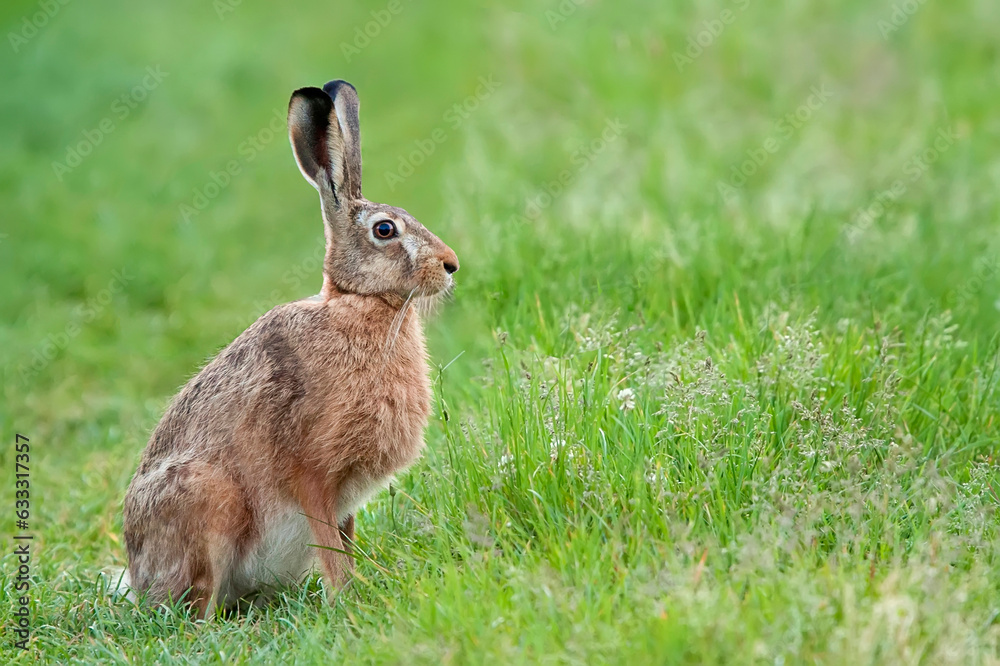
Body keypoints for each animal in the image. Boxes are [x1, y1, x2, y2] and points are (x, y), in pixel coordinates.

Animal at [118, 79, 459, 618]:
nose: (451, 265)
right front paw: (348, 602)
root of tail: (138, 579)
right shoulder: (313, 473)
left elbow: (346, 542)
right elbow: (332, 549)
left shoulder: (346, 498)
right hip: (205, 497)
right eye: (385, 230)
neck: (356, 302)